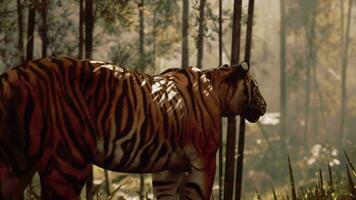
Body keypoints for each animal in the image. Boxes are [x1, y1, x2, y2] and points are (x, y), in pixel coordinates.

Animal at [0, 56, 264, 200]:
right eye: (255, 86)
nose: (265, 105)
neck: (218, 91)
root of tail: (14, 74)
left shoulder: (169, 168)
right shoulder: (204, 159)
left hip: (14, 165)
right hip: (66, 162)